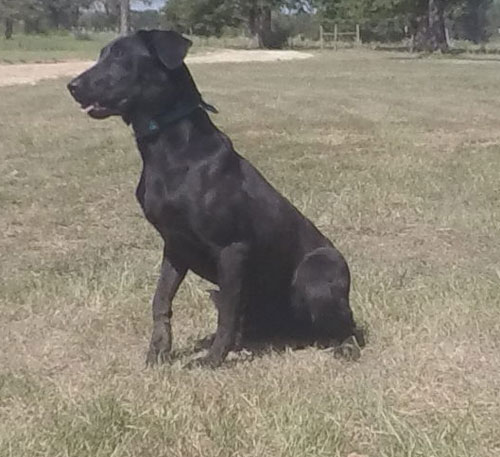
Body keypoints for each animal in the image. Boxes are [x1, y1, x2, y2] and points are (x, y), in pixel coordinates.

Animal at [67, 29, 364, 366]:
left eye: (119, 56)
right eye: (102, 54)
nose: (72, 86)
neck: (167, 149)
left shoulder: (231, 248)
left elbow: (228, 314)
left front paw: (212, 360)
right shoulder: (174, 245)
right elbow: (160, 299)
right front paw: (158, 351)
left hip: (317, 272)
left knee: (348, 327)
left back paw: (343, 346)